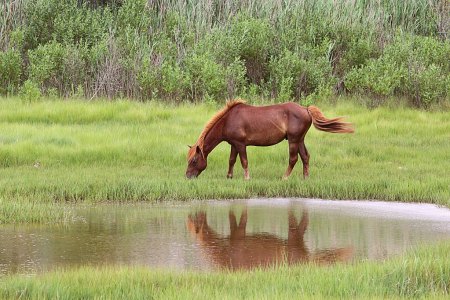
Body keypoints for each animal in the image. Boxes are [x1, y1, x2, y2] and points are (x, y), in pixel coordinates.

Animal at [185, 99, 354, 179]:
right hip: (300, 140)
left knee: (293, 159)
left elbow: (244, 161)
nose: (188, 176)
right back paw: (305, 177)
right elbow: (231, 160)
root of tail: (305, 109)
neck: (228, 120)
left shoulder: (241, 144)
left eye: (194, 161)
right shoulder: (233, 144)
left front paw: (247, 178)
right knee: (305, 157)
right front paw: (229, 176)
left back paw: (285, 177)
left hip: (293, 141)